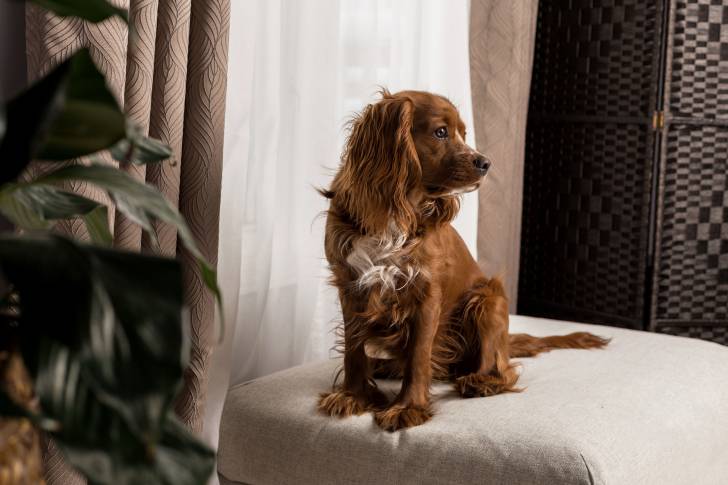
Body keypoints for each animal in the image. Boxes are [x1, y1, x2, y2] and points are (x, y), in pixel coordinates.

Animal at [318, 90, 608, 431]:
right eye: (441, 132)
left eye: (464, 134)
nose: (486, 162)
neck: (395, 211)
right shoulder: (350, 286)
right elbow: (354, 349)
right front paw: (353, 396)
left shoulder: (426, 294)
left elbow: (419, 355)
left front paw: (407, 407)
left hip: (487, 299)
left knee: (501, 369)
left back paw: (481, 381)